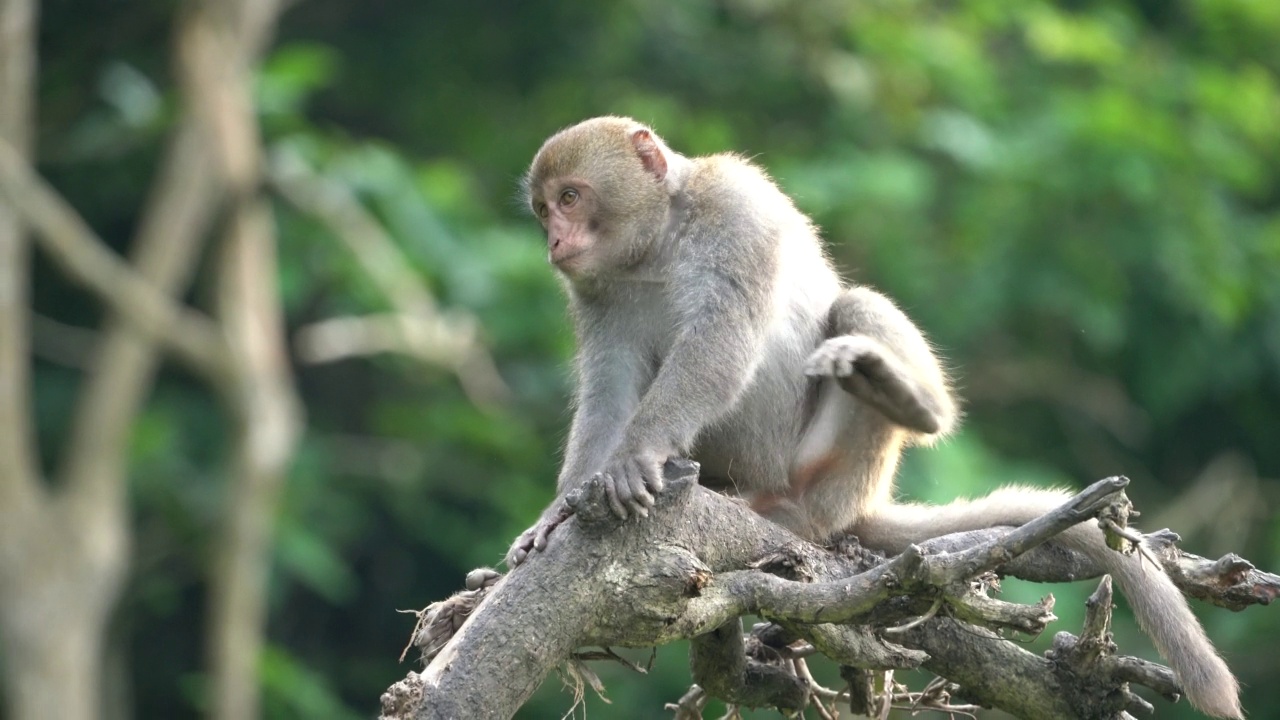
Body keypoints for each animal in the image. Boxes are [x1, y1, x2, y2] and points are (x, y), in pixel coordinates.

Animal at [506, 114, 1239, 712]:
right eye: (544, 209)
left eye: (571, 197)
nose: (554, 242)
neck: (653, 249)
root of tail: (856, 501)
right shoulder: (598, 289)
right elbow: (610, 388)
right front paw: (560, 512)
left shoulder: (735, 214)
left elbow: (721, 341)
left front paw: (636, 456)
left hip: (836, 471)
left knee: (854, 309)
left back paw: (902, 403)